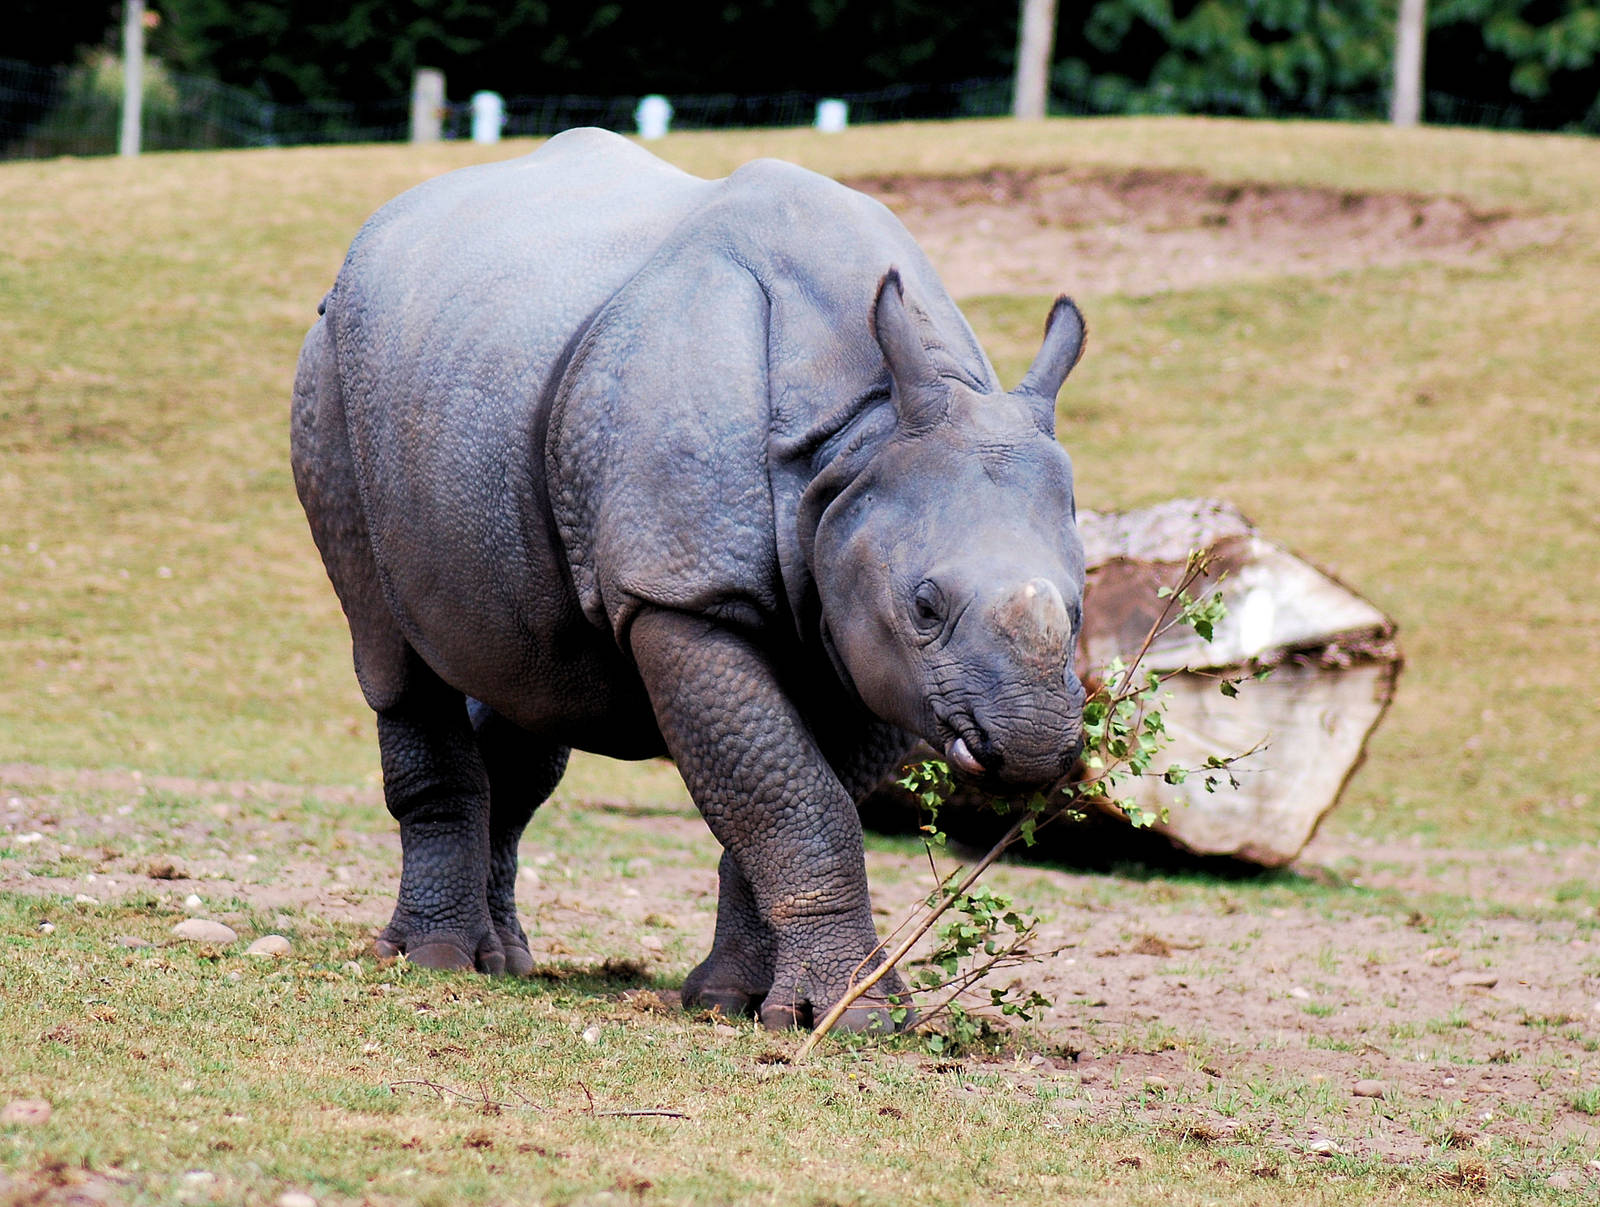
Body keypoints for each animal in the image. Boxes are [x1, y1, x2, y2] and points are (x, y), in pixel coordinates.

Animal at [291, 128, 1088, 1031]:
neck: (859, 441)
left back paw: (506, 961)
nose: (1031, 744)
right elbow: (793, 797)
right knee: (393, 653)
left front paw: (737, 1003)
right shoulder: (683, 592)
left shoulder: (865, 634)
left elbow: (786, 794)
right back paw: (432, 960)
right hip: (330, 372)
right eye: (926, 605)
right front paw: (858, 1016)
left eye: (1080, 609)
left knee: (530, 679)